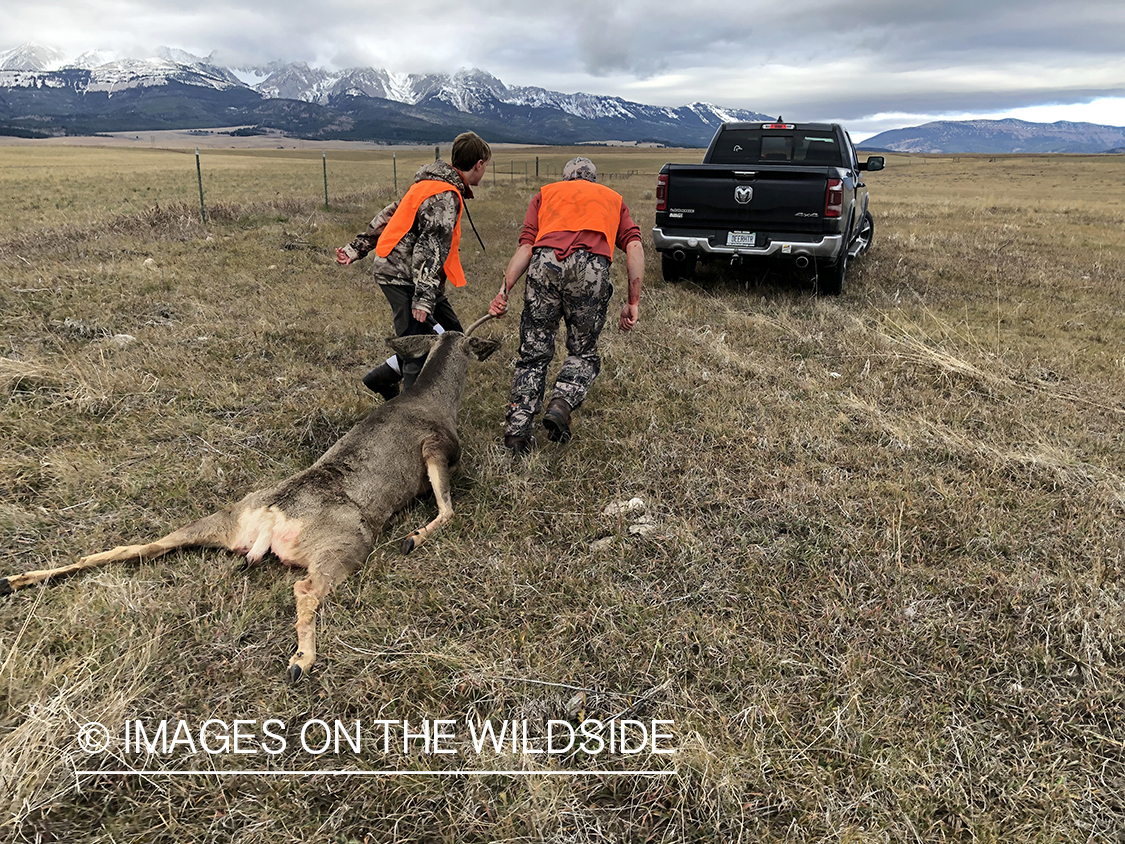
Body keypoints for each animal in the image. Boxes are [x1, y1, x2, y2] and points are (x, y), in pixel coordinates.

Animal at [0, 317, 501, 679]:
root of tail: (275, 516)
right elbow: (447, 507)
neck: (435, 399)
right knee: (305, 589)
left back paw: (17, 579)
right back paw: (301, 660)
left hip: (227, 517)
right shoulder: (438, 449)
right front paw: (414, 537)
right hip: (347, 544)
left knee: (139, 546)